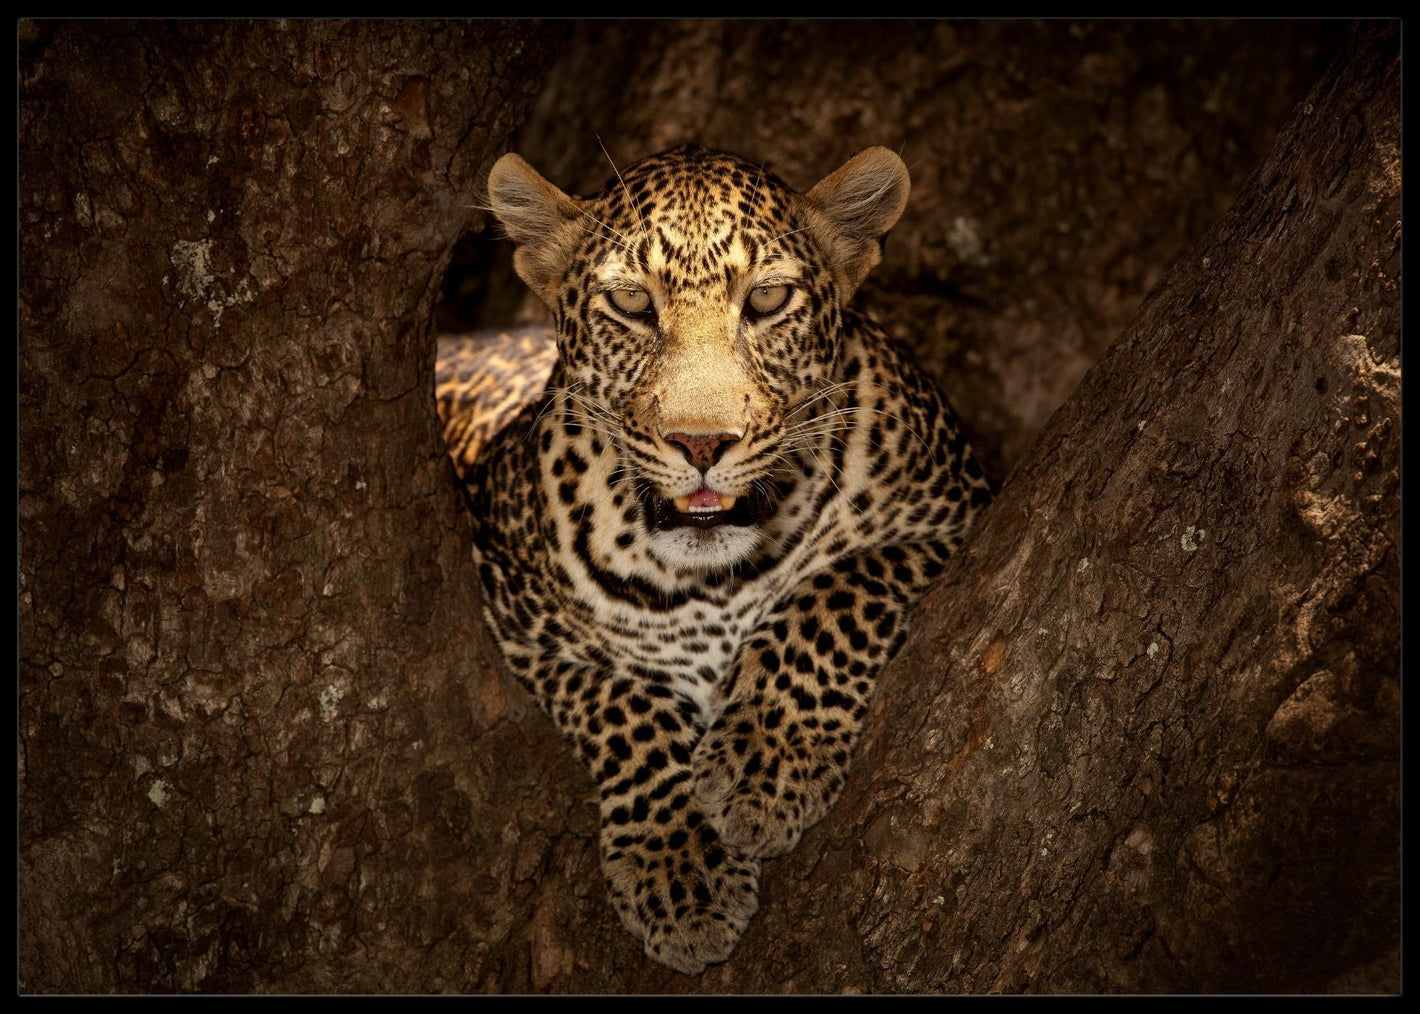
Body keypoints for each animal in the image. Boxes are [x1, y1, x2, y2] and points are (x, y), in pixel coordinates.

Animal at [436, 144, 992, 974]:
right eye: (631, 304)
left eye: (767, 299)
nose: (701, 444)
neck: (711, 580)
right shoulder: (516, 621)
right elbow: (623, 704)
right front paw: (680, 869)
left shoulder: (955, 514)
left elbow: (833, 593)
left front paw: (767, 762)